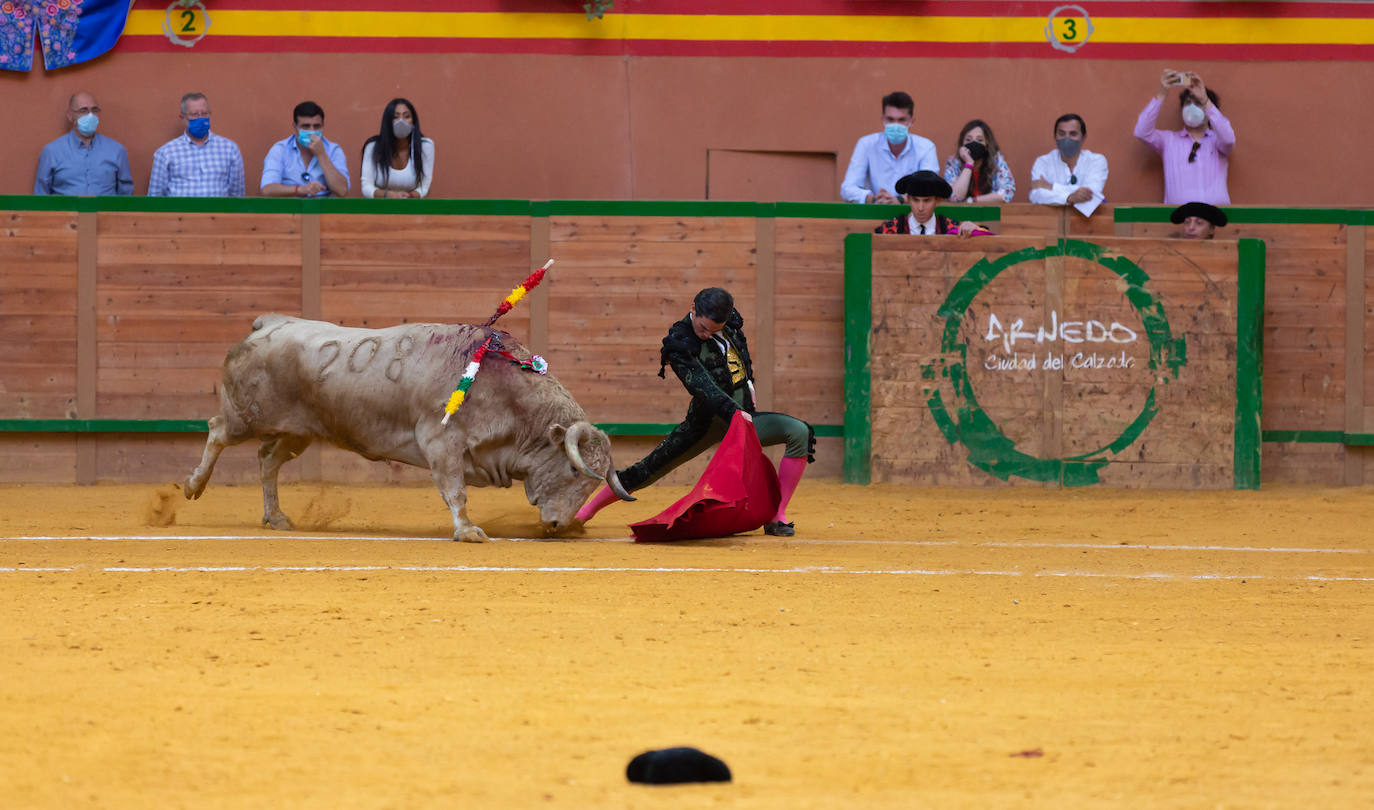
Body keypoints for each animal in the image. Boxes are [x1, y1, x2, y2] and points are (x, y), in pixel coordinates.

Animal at [182, 314, 632, 543]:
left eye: (593, 481)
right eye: (573, 468)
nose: (559, 526)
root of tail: (267, 325)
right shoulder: (441, 443)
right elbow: (455, 490)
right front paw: (467, 531)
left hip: (299, 432)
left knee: (268, 461)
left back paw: (276, 517)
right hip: (247, 417)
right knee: (218, 430)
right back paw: (192, 486)